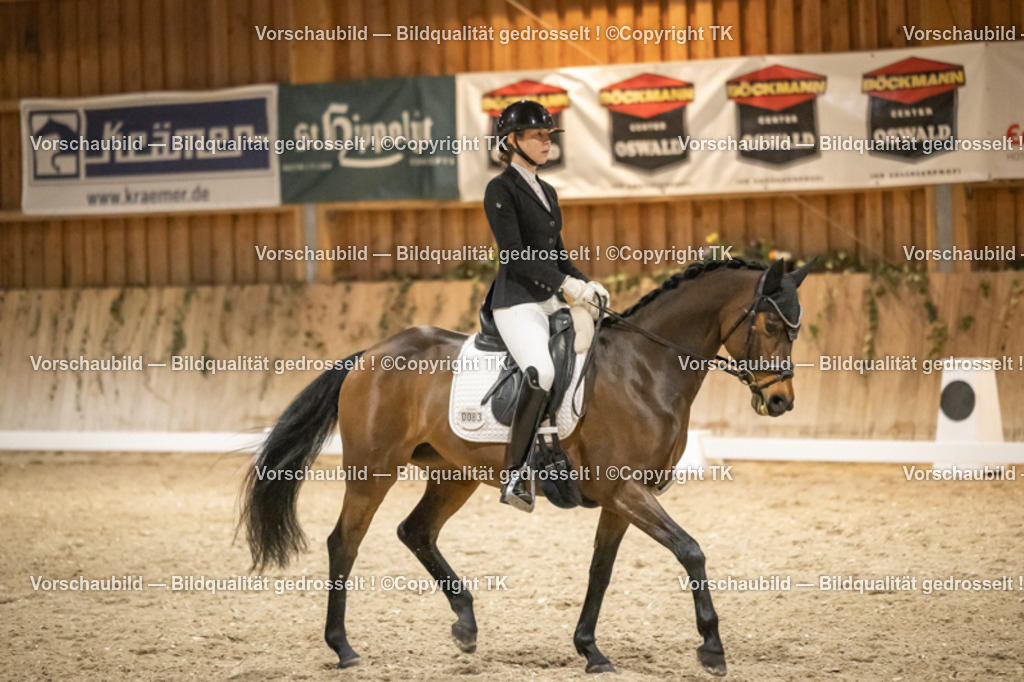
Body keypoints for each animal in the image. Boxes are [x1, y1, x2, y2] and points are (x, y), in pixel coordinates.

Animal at [240, 257, 811, 676]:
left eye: (796, 329)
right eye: (769, 323)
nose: (781, 401)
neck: (646, 369)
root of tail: (370, 355)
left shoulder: (621, 500)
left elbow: (600, 570)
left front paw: (590, 650)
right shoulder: (626, 490)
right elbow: (691, 551)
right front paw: (712, 647)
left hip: (454, 475)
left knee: (416, 531)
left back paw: (465, 624)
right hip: (373, 470)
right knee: (345, 542)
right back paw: (343, 647)